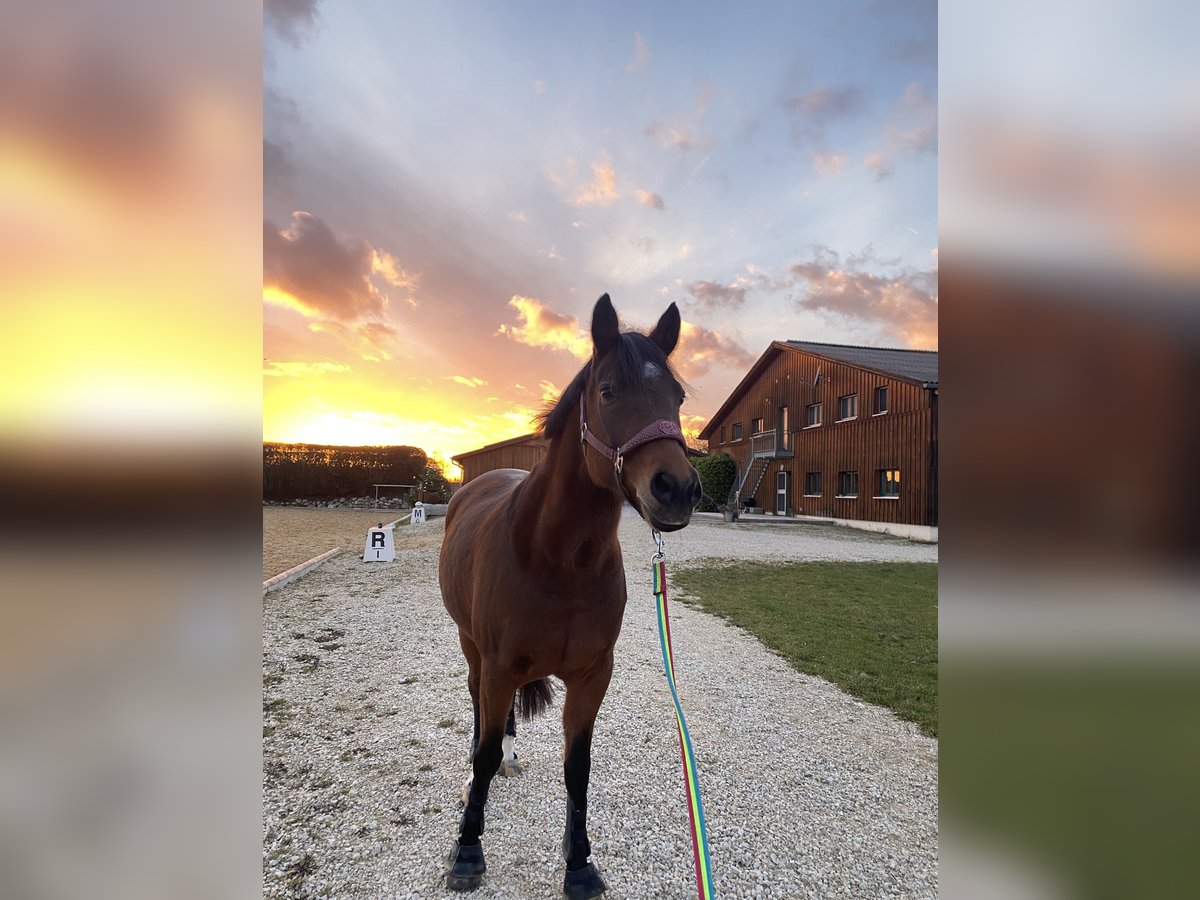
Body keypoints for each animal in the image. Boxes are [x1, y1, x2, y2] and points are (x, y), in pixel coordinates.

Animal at [439, 294, 700, 897]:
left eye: (676, 398)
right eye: (607, 391)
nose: (677, 489)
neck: (558, 562)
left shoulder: (591, 674)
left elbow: (577, 767)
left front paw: (579, 862)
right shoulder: (499, 664)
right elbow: (484, 753)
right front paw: (467, 849)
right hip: (472, 648)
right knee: (478, 708)